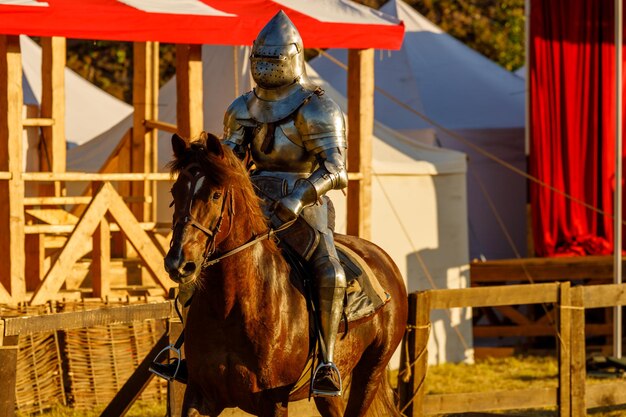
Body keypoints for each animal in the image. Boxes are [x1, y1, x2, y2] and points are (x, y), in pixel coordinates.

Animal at [166, 132, 408, 416]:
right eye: (175, 191)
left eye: (215, 195)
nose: (179, 263)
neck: (233, 306)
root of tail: (385, 260)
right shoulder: (200, 395)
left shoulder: (272, 402)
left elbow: (333, 167)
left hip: (370, 373)